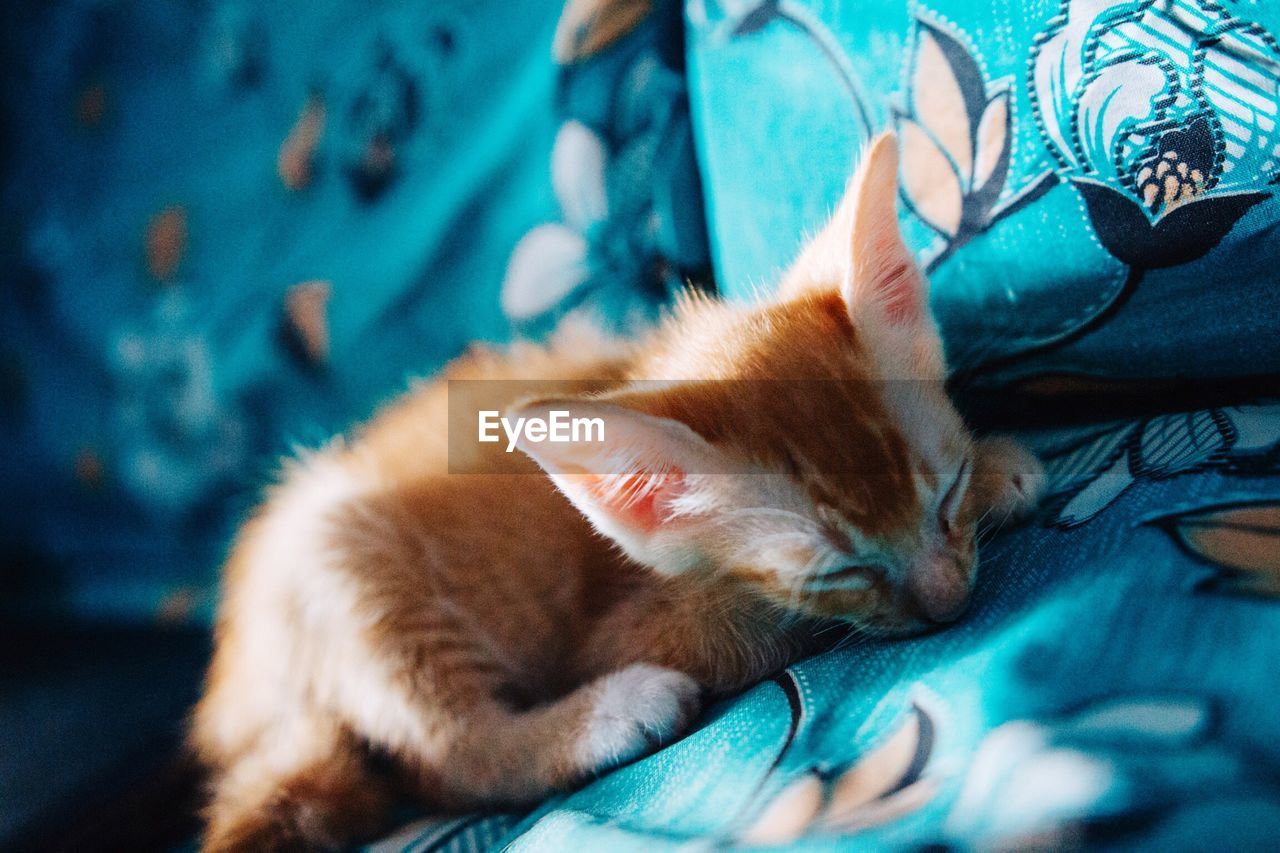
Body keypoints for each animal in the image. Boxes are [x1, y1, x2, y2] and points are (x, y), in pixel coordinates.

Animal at [194, 136, 1044, 845]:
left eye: (946, 493)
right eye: (840, 570)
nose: (950, 602)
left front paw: (996, 466)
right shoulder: (622, 628)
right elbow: (765, 624)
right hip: (345, 569)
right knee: (445, 759)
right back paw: (607, 715)